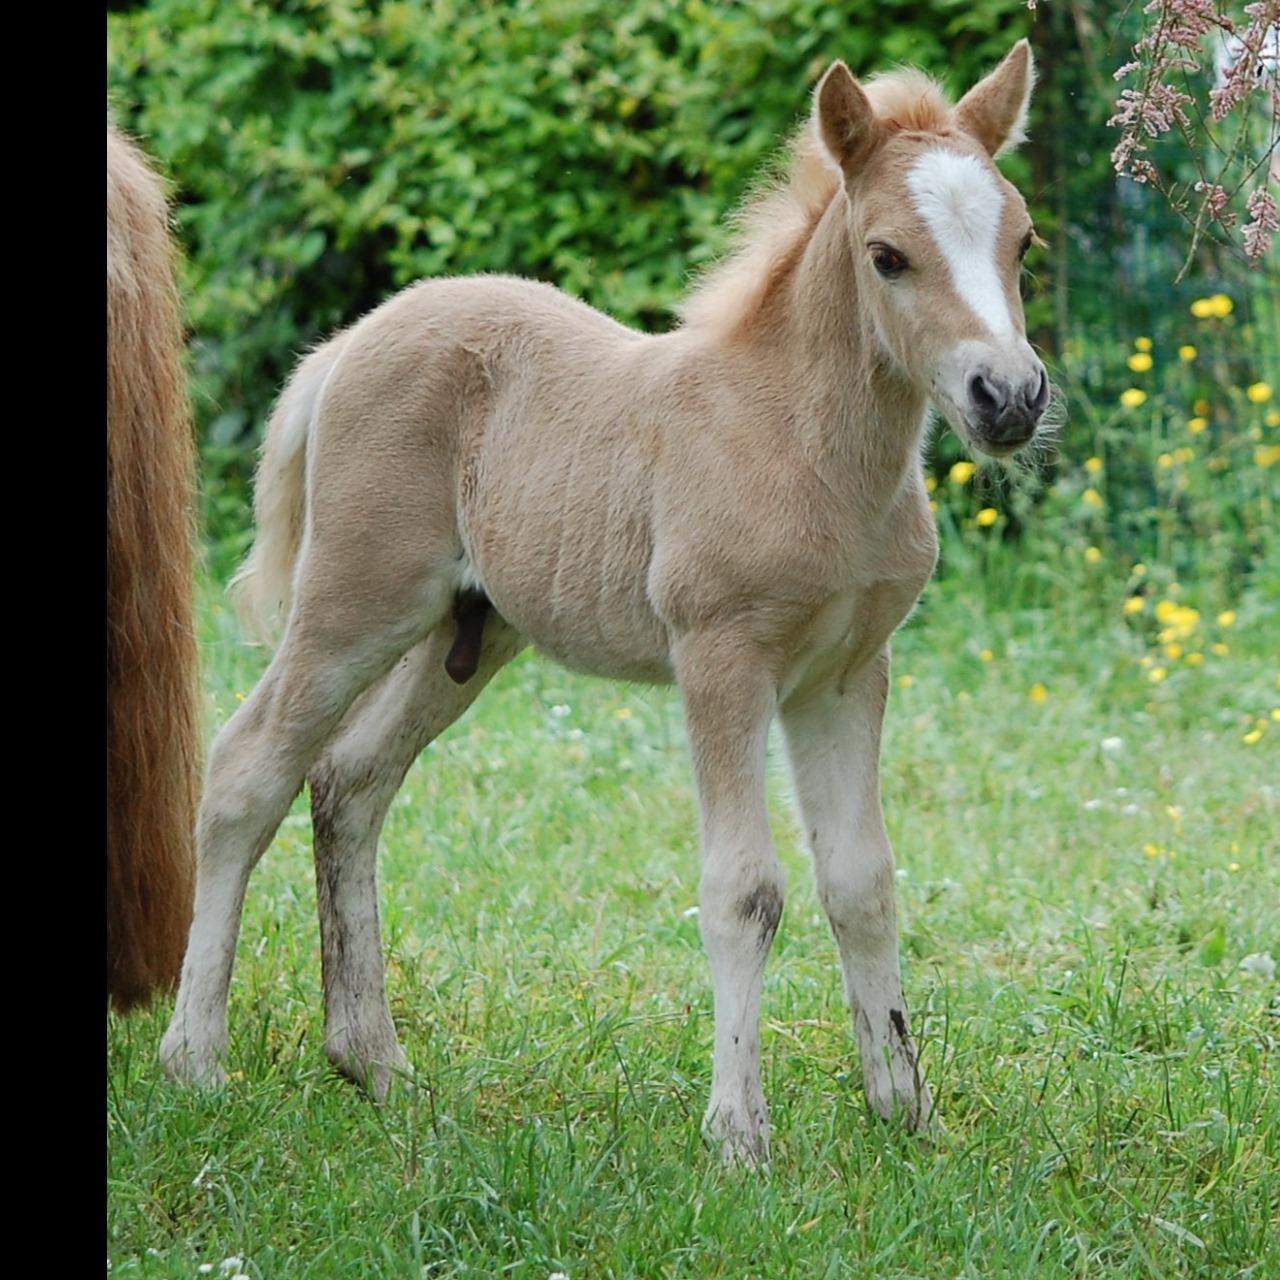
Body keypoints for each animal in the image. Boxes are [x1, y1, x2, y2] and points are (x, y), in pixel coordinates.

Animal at [162, 42, 1049, 1162]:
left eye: (1022, 240)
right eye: (887, 254)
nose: (1008, 397)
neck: (800, 440)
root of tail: (343, 348)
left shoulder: (846, 673)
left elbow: (861, 881)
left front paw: (905, 1112)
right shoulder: (721, 657)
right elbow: (744, 889)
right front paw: (738, 1136)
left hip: (465, 634)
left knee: (350, 782)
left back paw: (375, 1064)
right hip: (354, 604)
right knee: (248, 771)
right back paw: (195, 1061)